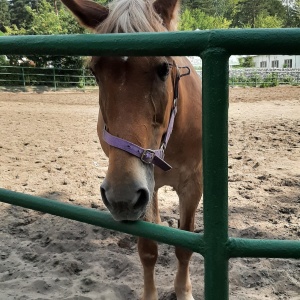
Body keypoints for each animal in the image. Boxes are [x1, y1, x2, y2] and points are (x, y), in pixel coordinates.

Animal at [60, 1, 202, 298]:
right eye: (95, 72)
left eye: (163, 68)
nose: (121, 195)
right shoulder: (144, 187)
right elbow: (148, 249)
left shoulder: (193, 185)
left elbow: (184, 247)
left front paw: (183, 291)